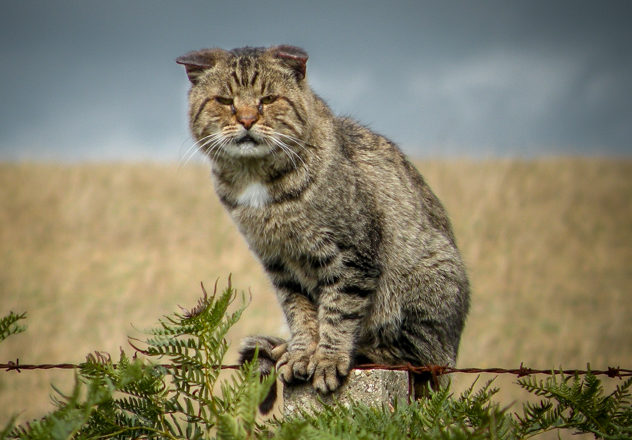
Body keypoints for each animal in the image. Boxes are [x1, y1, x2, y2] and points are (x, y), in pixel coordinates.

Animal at [178, 45, 470, 412]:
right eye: (225, 101)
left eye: (268, 99)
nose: (246, 119)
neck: (257, 182)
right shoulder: (280, 264)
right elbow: (300, 313)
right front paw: (302, 352)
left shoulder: (351, 256)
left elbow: (338, 311)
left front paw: (328, 359)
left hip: (428, 279)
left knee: (417, 357)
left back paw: (362, 351)